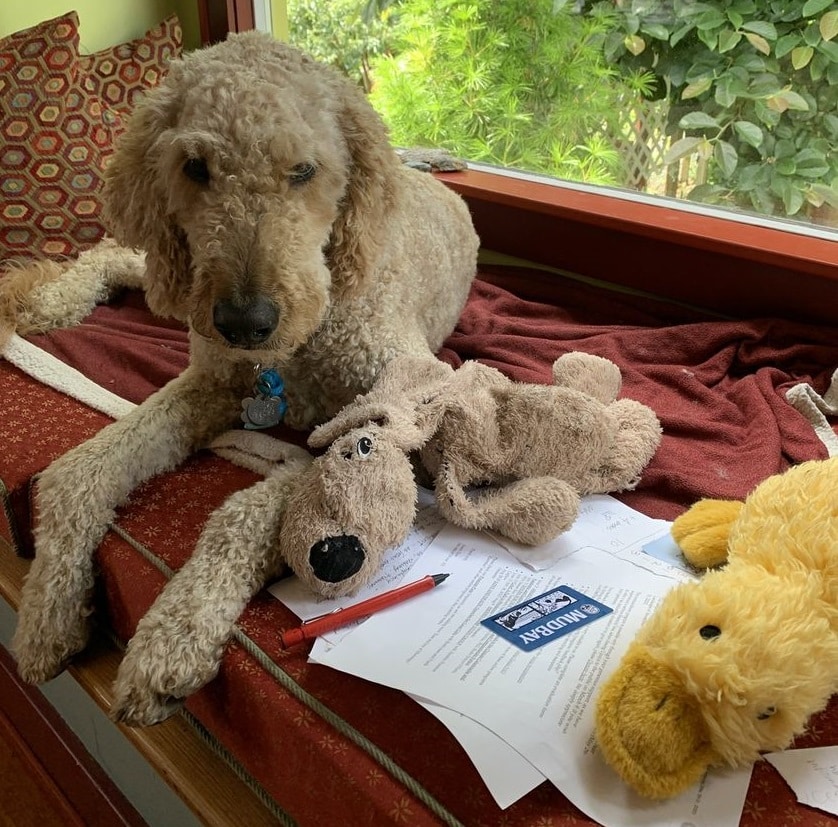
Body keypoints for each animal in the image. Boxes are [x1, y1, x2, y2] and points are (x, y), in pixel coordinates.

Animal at [11, 30, 480, 724]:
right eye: (195, 167)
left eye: (304, 171)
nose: (244, 323)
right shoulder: (212, 380)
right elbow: (74, 474)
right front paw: (48, 609)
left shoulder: (411, 416)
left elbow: (253, 507)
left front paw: (175, 634)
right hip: (177, 279)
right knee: (117, 254)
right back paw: (47, 301)